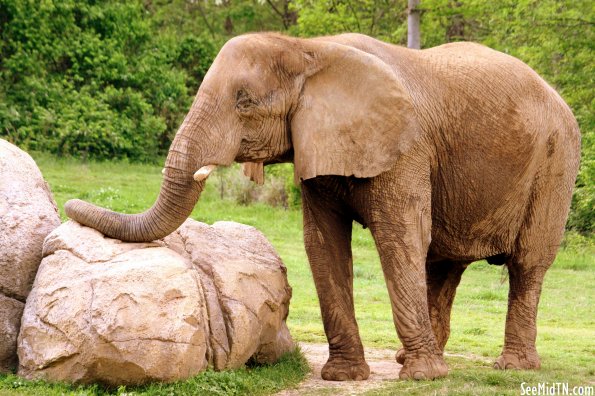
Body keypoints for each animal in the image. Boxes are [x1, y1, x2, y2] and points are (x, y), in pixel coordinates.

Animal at [65, 33, 584, 380]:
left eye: (245, 102)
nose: (69, 203)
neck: (309, 50)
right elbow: (323, 244)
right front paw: (344, 376)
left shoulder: (406, 148)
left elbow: (399, 240)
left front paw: (423, 380)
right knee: (444, 264)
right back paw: (420, 356)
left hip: (557, 162)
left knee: (527, 264)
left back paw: (510, 366)